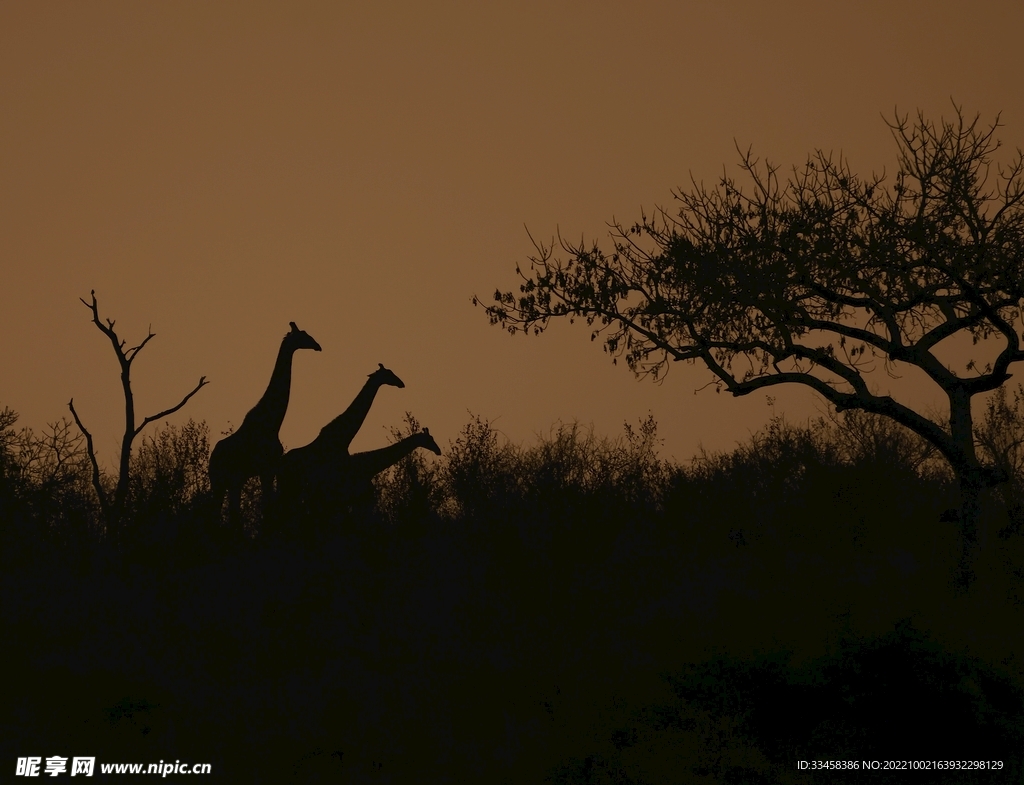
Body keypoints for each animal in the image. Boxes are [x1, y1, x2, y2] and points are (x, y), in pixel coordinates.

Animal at [207, 323, 319, 532]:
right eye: (303, 336)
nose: (318, 346)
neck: (273, 423)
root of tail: (212, 458)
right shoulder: (265, 467)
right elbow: (267, 506)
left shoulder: (271, 467)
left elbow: (268, 504)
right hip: (220, 480)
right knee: (219, 513)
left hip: (232, 481)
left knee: (226, 512)